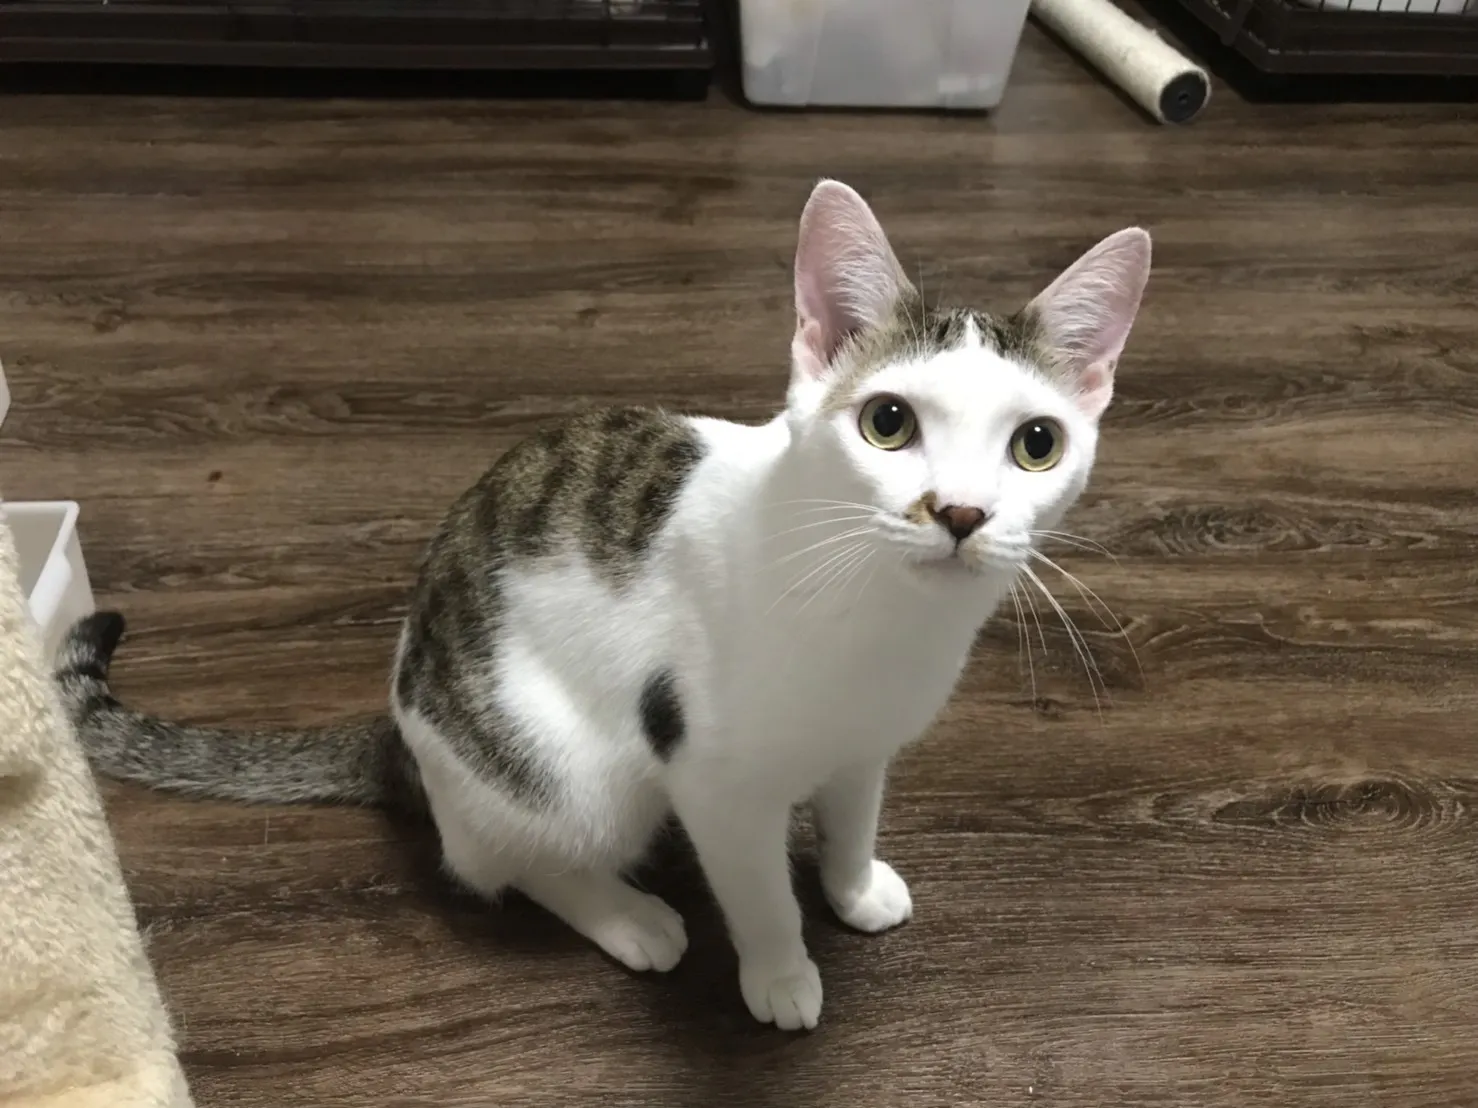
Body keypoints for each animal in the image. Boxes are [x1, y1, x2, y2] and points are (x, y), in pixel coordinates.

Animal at [55, 179, 1151, 1031]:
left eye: (1037, 444)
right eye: (888, 422)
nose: (960, 512)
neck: (876, 614)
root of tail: (402, 733)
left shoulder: (865, 742)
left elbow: (850, 813)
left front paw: (851, 885)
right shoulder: (710, 776)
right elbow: (755, 885)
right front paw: (781, 971)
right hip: (565, 767)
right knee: (504, 861)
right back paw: (631, 916)